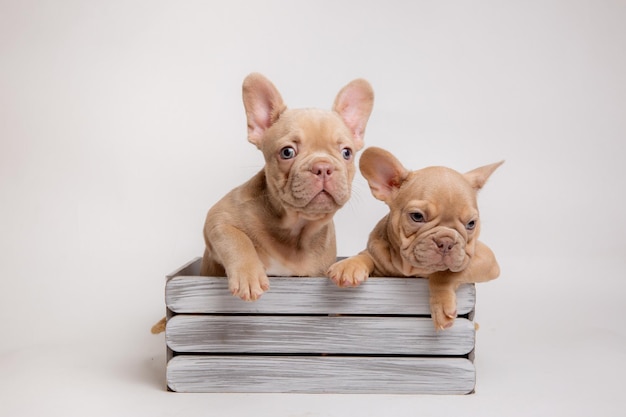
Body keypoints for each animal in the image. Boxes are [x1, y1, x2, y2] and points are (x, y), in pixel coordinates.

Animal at [330, 146, 500, 328]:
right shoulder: (376, 253)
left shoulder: (485, 260)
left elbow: (446, 274)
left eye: (471, 224)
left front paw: (441, 303)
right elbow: (365, 256)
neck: (411, 270)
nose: (446, 241)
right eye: (417, 216)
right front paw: (349, 265)